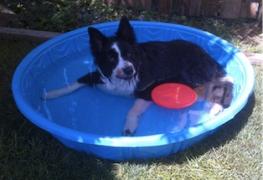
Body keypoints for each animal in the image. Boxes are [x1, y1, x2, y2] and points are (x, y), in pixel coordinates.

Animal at [43, 16, 235, 135]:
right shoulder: (98, 76)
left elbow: (132, 109)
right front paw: (51, 93)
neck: (121, 80)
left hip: (193, 77)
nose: (129, 70)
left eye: (129, 54)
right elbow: (75, 82)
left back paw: (216, 109)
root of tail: (205, 53)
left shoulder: (148, 90)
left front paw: (129, 126)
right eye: (111, 58)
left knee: (223, 86)